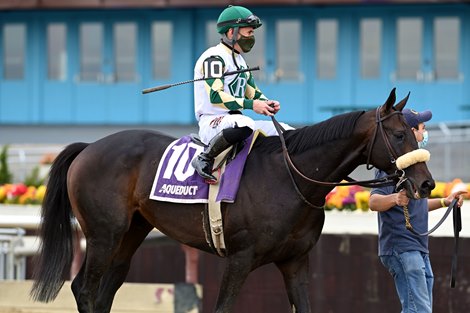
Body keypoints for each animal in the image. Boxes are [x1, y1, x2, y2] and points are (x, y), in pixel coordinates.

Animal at [31, 88, 436, 312]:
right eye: (399, 135)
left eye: (413, 133)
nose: (427, 183)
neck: (291, 178)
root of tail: (89, 147)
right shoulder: (239, 260)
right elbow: (223, 307)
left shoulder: (295, 262)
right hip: (104, 234)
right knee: (84, 288)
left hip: (131, 233)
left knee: (104, 292)